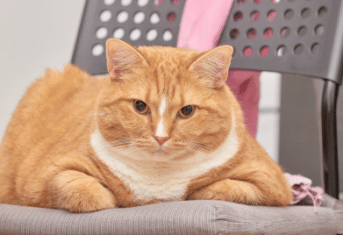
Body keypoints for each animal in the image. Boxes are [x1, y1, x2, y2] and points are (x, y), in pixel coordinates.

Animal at [0, 39, 292, 213]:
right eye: (140, 106)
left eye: (187, 111)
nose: (160, 137)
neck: (157, 177)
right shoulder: (45, 174)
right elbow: (83, 190)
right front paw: (110, 198)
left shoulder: (270, 182)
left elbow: (222, 189)